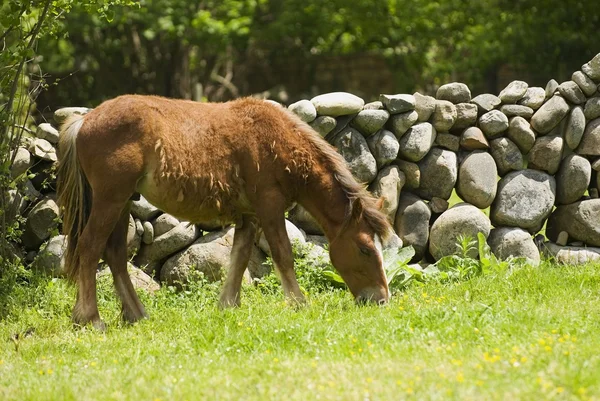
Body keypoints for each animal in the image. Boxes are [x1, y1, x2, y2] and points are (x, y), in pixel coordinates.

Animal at [57, 95, 394, 330]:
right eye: (365, 249)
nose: (381, 300)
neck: (277, 141)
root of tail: (85, 121)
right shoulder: (270, 209)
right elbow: (283, 255)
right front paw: (299, 303)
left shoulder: (250, 217)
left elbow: (239, 258)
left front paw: (228, 305)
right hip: (110, 200)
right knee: (90, 247)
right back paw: (90, 319)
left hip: (123, 202)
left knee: (114, 254)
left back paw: (136, 314)